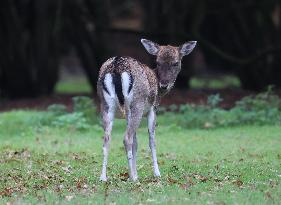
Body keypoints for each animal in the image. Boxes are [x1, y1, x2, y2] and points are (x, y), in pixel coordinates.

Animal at [97, 38, 196, 181]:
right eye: (158, 62)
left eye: (175, 63)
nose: (164, 85)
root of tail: (116, 66)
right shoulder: (153, 109)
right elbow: (151, 140)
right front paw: (156, 173)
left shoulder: (127, 114)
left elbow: (136, 143)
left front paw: (135, 172)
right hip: (137, 103)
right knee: (126, 138)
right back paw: (133, 179)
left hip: (106, 104)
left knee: (106, 140)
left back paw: (103, 177)